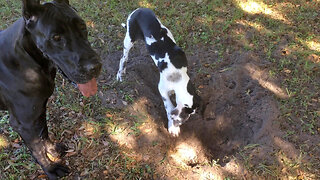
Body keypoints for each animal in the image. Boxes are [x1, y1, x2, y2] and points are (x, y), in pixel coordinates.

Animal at [116, 7, 200, 136]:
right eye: (185, 115)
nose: (179, 123)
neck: (179, 77)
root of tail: (139, 9)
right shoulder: (162, 88)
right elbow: (169, 107)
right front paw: (172, 128)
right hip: (129, 39)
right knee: (123, 58)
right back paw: (120, 74)